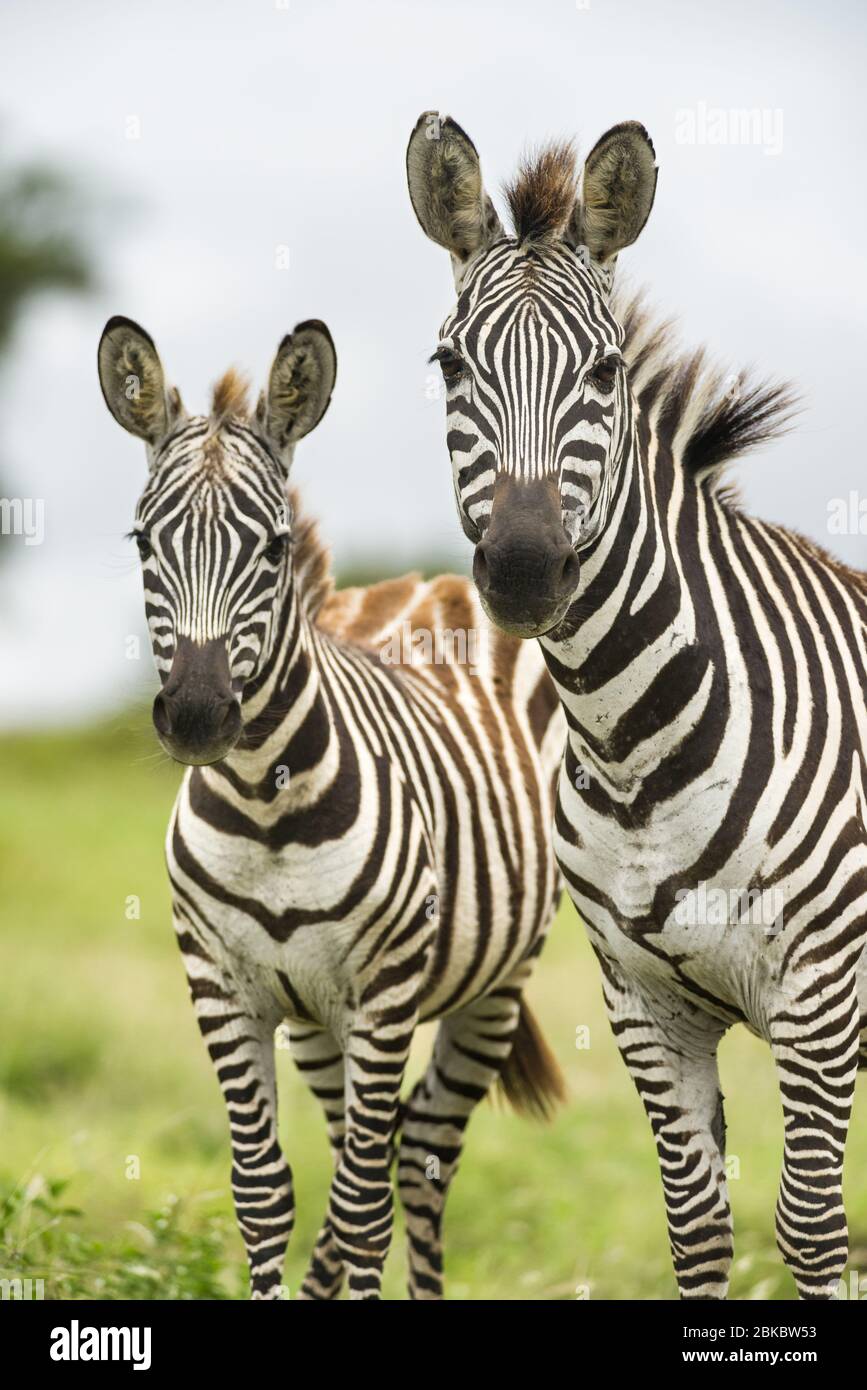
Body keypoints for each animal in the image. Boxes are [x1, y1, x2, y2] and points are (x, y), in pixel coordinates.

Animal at [97, 309, 566, 1295]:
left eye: (273, 548)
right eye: (143, 542)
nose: (197, 716)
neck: (265, 807)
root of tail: (428, 579)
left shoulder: (381, 993)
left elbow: (357, 1205)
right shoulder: (224, 989)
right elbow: (265, 1189)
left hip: (495, 982)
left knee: (417, 1155)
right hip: (315, 1022)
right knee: (374, 1148)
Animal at [408, 113, 867, 1295]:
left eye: (606, 369)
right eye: (448, 364)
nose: (526, 569)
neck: (636, 749)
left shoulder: (821, 996)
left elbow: (810, 1225)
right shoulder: (644, 1003)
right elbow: (697, 1227)